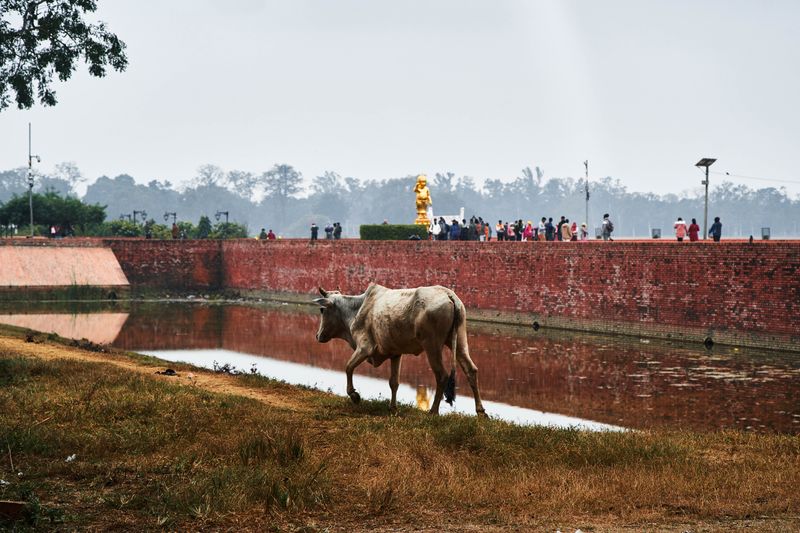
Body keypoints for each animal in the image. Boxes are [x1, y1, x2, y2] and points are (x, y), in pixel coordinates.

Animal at [314, 284, 486, 416]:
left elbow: (348, 367)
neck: (355, 309)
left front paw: (354, 395)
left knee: (442, 375)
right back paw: (481, 411)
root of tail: (449, 295)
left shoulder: (365, 348)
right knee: (471, 370)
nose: (317, 335)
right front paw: (393, 408)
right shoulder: (395, 354)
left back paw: (433, 411)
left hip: (432, 345)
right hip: (459, 341)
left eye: (322, 310)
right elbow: (394, 382)